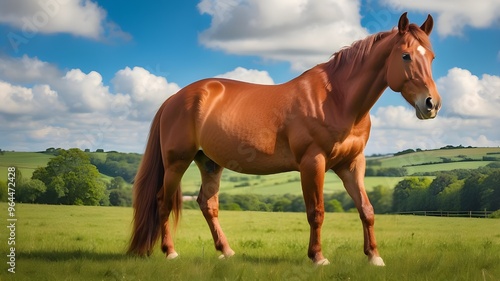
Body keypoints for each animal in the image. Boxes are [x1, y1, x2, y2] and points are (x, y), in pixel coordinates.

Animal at [128, 12, 442, 264]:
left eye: (432, 57)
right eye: (405, 55)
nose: (431, 104)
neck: (337, 100)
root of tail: (174, 98)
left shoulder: (352, 164)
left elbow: (366, 209)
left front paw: (374, 257)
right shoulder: (312, 163)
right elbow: (316, 211)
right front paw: (317, 257)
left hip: (209, 163)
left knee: (208, 204)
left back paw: (226, 251)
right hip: (176, 163)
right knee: (163, 202)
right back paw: (170, 252)